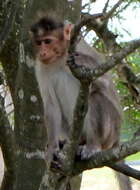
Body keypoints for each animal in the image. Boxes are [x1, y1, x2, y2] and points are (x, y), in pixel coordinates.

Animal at [29, 14, 121, 160]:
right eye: (39, 43)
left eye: (47, 41)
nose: (42, 53)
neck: (60, 58)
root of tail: (117, 139)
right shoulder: (41, 66)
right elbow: (51, 105)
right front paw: (52, 148)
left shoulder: (79, 47)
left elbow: (105, 83)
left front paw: (80, 59)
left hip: (111, 132)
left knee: (95, 97)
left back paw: (93, 145)